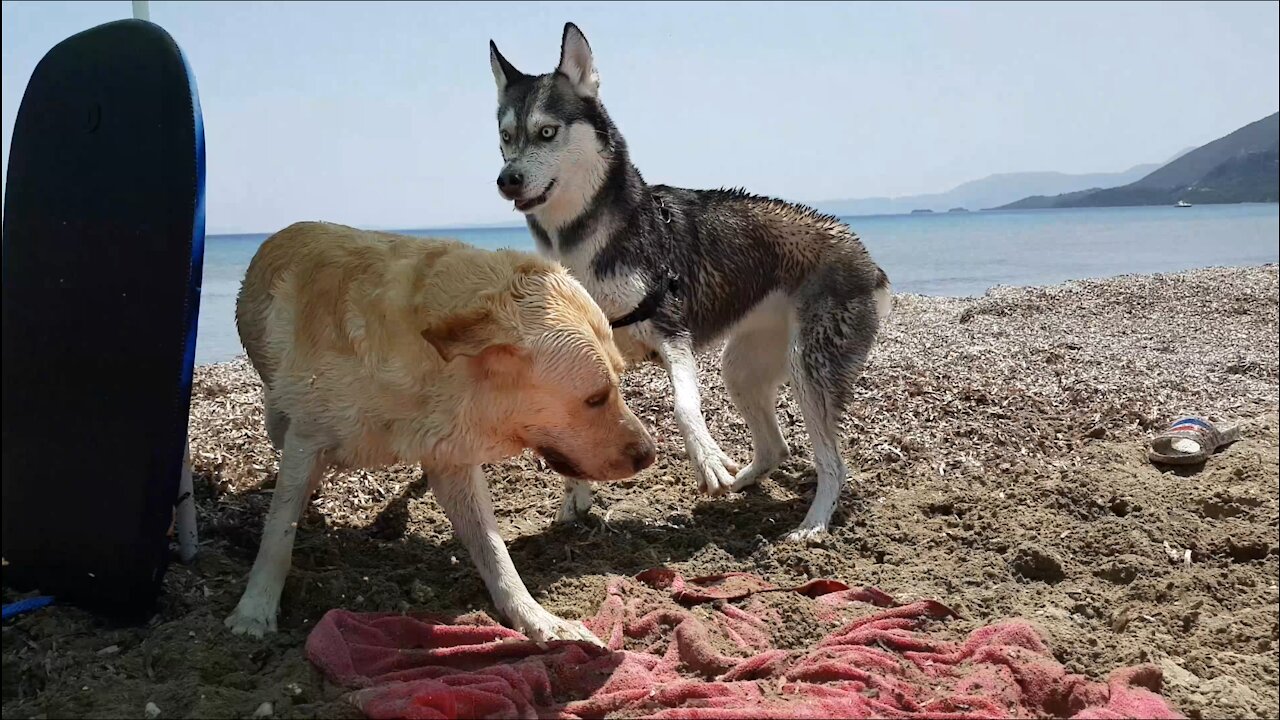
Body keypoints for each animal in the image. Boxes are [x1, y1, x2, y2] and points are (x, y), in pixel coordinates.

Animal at [224, 221, 655, 640]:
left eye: (619, 382)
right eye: (596, 398)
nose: (650, 454)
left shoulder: (453, 461)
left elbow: (495, 552)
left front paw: (536, 616)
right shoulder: (304, 444)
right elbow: (278, 533)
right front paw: (254, 609)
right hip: (278, 422)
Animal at [486, 23, 890, 538]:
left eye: (546, 132)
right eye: (505, 137)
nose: (507, 180)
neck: (583, 244)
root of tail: (863, 255)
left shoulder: (671, 332)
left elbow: (684, 406)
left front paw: (707, 459)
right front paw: (576, 497)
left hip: (809, 367)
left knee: (834, 464)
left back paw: (813, 524)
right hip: (744, 366)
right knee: (776, 447)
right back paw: (745, 482)